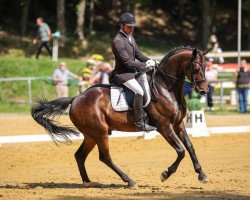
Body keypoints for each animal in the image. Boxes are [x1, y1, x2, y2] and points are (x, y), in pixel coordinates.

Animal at [32, 47, 210, 189]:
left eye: (205, 66)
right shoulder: (164, 126)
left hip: (91, 135)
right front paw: (165, 174)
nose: (204, 90)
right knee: (104, 157)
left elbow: (190, 147)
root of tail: (75, 98)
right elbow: (181, 151)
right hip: (100, 133)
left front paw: (201, 174)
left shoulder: (179, 124)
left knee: (80, 155)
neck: (166, 87)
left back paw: (88, 182)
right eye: (196, 67)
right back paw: (129, 181)